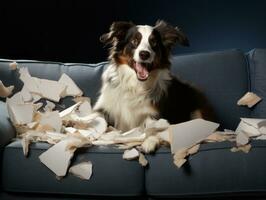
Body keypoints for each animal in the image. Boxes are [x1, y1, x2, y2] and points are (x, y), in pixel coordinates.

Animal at [93, 19, 214, 152]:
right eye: (134, 41)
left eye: (154, 42)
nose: (144, 54)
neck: (136, 84)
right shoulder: (105, 107)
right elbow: (95, 119)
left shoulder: (155, 114)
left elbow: (154, 127)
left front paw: (150, 141)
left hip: (197, 107)